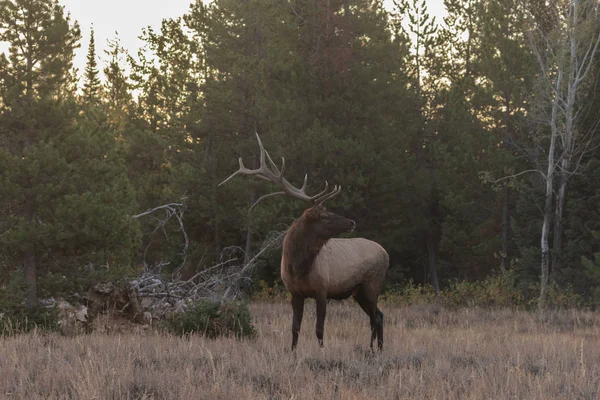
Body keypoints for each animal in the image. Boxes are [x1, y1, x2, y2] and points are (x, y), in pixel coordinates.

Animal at [220, 134, 390, 350]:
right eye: (325, 216)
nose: (351, 222)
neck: (298, 266)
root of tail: (386, 253)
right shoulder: (295, 293)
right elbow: (295, 328)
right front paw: (292, 352)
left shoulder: (322, 289)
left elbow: (319, 329)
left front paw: (321, 351)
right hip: (359, 291)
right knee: (378, 316)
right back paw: (375, 348)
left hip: (372, 284)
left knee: (376, 317)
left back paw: (375, 348)